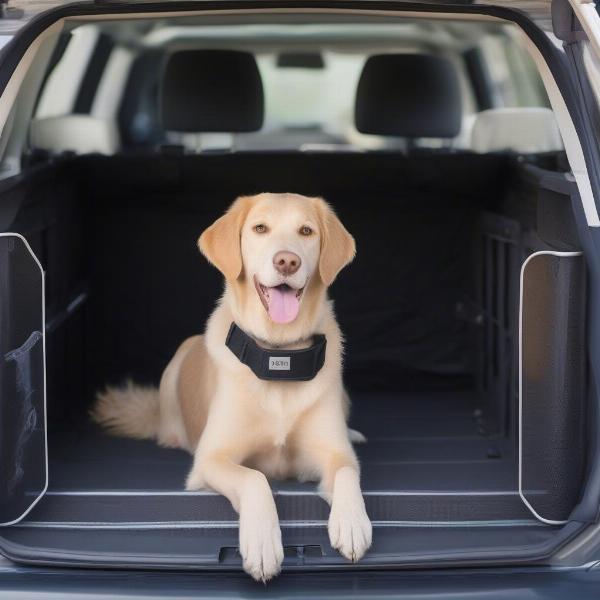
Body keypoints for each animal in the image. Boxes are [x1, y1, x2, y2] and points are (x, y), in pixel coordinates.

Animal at [92, 192, 372, 580]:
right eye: (260, 228)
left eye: (306, 231)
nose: (287, 261)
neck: (278, 359)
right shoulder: (211, 459)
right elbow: (255, 479)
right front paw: (263, 543)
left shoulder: (332, 454)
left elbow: (347, 471)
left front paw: (352, 522)